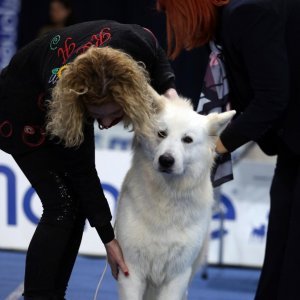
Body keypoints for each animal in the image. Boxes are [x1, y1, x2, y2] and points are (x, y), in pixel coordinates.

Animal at [115, 91, 234, 300]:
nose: (166, 160)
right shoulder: (131, 270)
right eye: (162, 134)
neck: (167, 196)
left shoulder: (178, 275)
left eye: (187, 139)